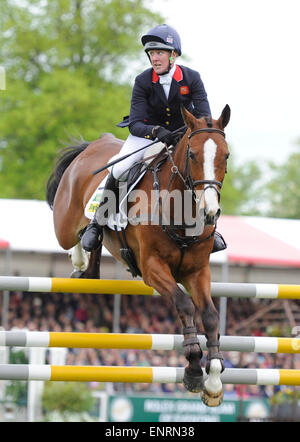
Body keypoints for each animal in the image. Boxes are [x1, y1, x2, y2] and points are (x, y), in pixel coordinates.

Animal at [45, 104, 231, 408]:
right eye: (192, 154)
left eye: (225, 156)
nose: (210, 212)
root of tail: (93, 145)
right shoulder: (153, 268)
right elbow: (185, 305)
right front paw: (193, 369)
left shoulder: (197, 272)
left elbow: (211, 316)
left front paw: (214, 382)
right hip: (65, 222)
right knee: (71, 237)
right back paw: (79, 255)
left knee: (92, 260)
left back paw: (87, 261)